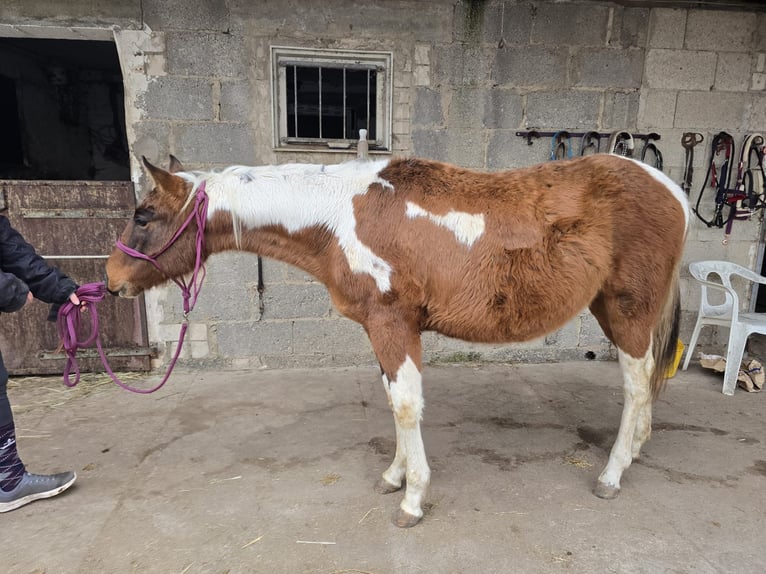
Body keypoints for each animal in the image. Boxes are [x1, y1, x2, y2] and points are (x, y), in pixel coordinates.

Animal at [105, 153, 689, 528]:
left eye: (143, 215)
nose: (111, 280)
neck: (337, 217)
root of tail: (674, 190)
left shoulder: (394, 324)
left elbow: (406, 406)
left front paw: (412, 500)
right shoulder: (381, 329)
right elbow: (393, 400)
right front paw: (395, 475)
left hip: (628, 310)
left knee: (636, 386)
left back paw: (612, 473)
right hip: (611, 309)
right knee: (646, 384)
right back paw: (636, 449)